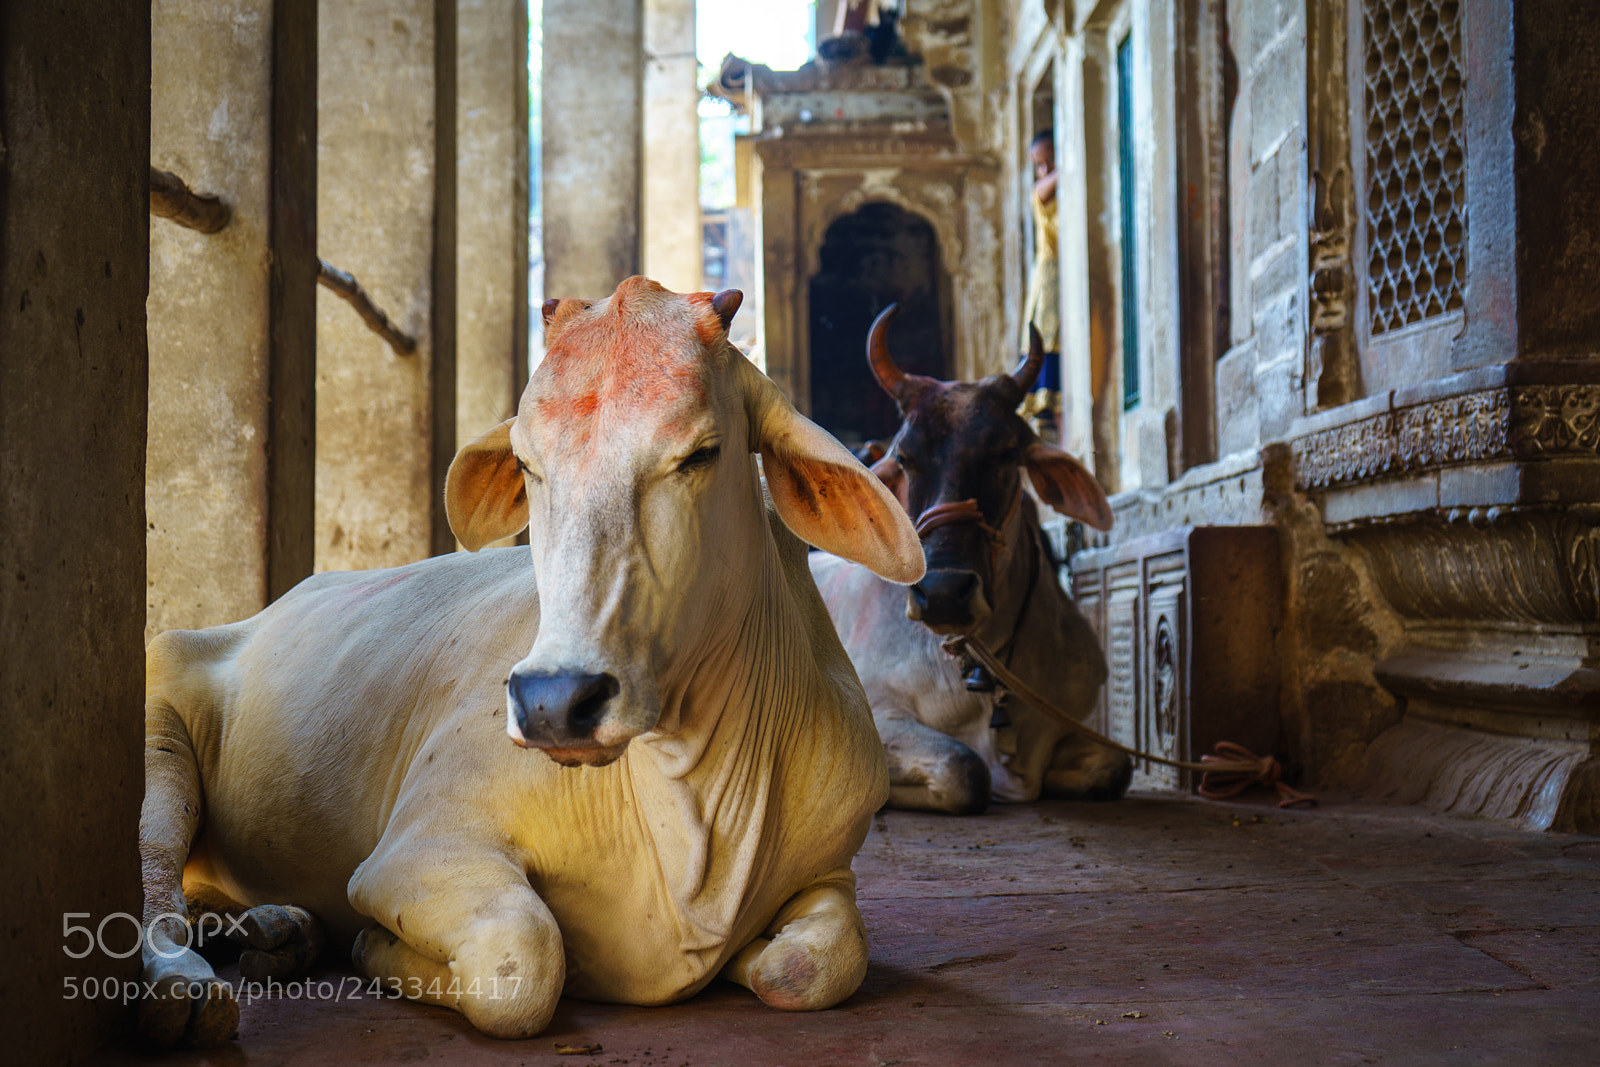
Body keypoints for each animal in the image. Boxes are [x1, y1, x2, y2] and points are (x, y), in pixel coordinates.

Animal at [137, 277, 924, 1047]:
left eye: (702, 452)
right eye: (525, 461)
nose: (555, 701)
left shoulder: (832, 869)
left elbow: (806, 966)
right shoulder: (418, 848)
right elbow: (522, 963)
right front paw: (370, 945)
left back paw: (276, 929)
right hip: (157, 732)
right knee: (153, 877)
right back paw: (186, 985)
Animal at [809, 306, 1130, 815]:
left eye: (1006, 452)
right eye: (905, 456)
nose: (942, 594)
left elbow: (1115, 766)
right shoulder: (878, 712)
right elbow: (964, 769)